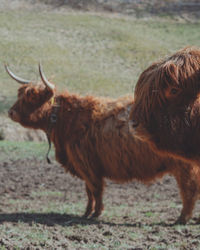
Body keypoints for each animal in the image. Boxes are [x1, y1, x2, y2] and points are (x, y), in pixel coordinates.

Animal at [5, 63, 200, 224]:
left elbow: (96, 190)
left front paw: (95, 213)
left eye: (32, 97)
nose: (10, 112)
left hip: (185, 166)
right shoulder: (84, 166)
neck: (68, 120)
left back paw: (182, 219)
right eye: (20, 94)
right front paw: (86, 213)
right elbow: (89, 192)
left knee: (189, 191)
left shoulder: (89, 166)